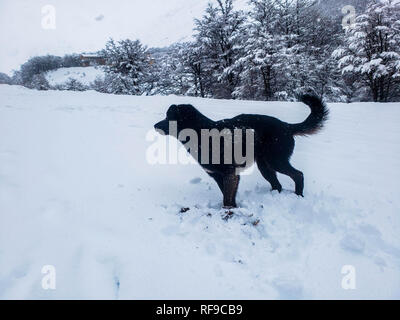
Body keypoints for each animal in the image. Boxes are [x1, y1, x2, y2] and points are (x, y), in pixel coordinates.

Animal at [154, 94, 328, 210]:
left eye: (168, 117)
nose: (155, 125)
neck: (201, 133)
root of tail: (287, 125)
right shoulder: (220, 176)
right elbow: (229, 198)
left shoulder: (230, 174)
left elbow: (227, 199)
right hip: (265, 166)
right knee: (277, 184)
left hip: (276, 161)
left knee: (298, 174)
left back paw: (298, 196)